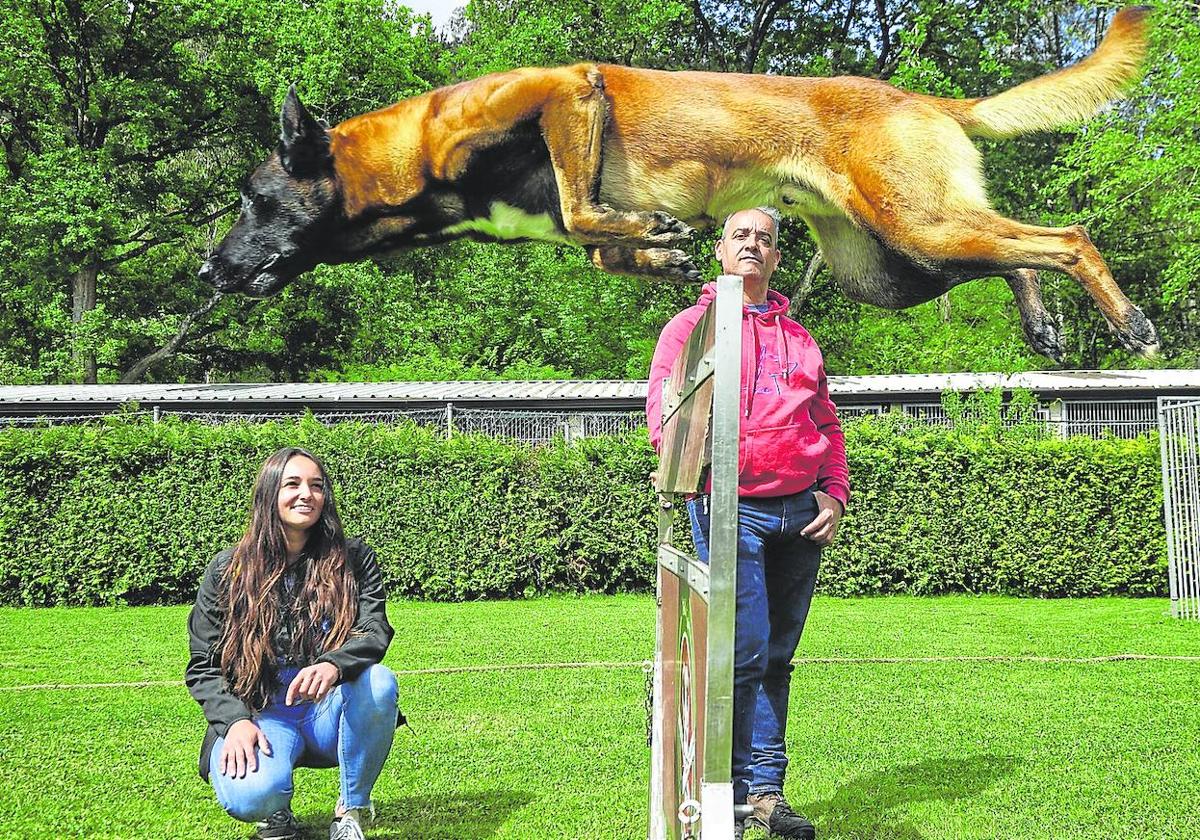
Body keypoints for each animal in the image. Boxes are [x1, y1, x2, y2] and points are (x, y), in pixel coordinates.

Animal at [201, 5, 1156, 357]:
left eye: (252, 201)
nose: (209, 268)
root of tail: (924, 96)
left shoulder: (565, 91)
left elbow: (582, 207)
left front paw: (651, 237)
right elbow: (595, 240)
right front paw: (656, 251)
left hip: (915, 226)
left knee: (1065, 237)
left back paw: (1130, 322)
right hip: (895, 266)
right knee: (1019, 250)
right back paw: (1042, 323)